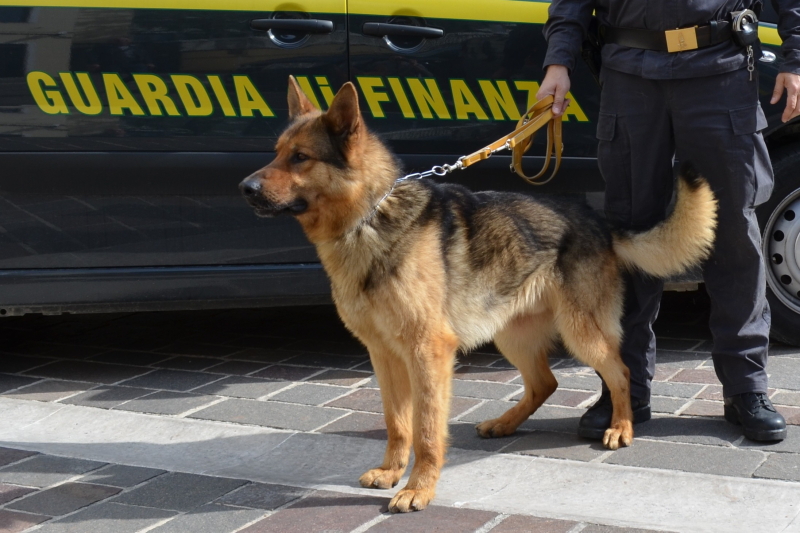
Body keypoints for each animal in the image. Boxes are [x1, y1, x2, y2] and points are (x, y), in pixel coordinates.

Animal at [239, 78, 720, 512]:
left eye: (300, 158)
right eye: (277, 153)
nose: (245, 189)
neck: (368, 218)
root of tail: (597, 220)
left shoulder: (427, 352)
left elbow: (426, 429)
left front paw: (419, 489)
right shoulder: (384, 355)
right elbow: (397, 423)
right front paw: (393, 472)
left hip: (579, 333)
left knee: (620, 371)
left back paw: (621, 427)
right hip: (511, 335)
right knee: (545, 382)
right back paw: (505, 424)